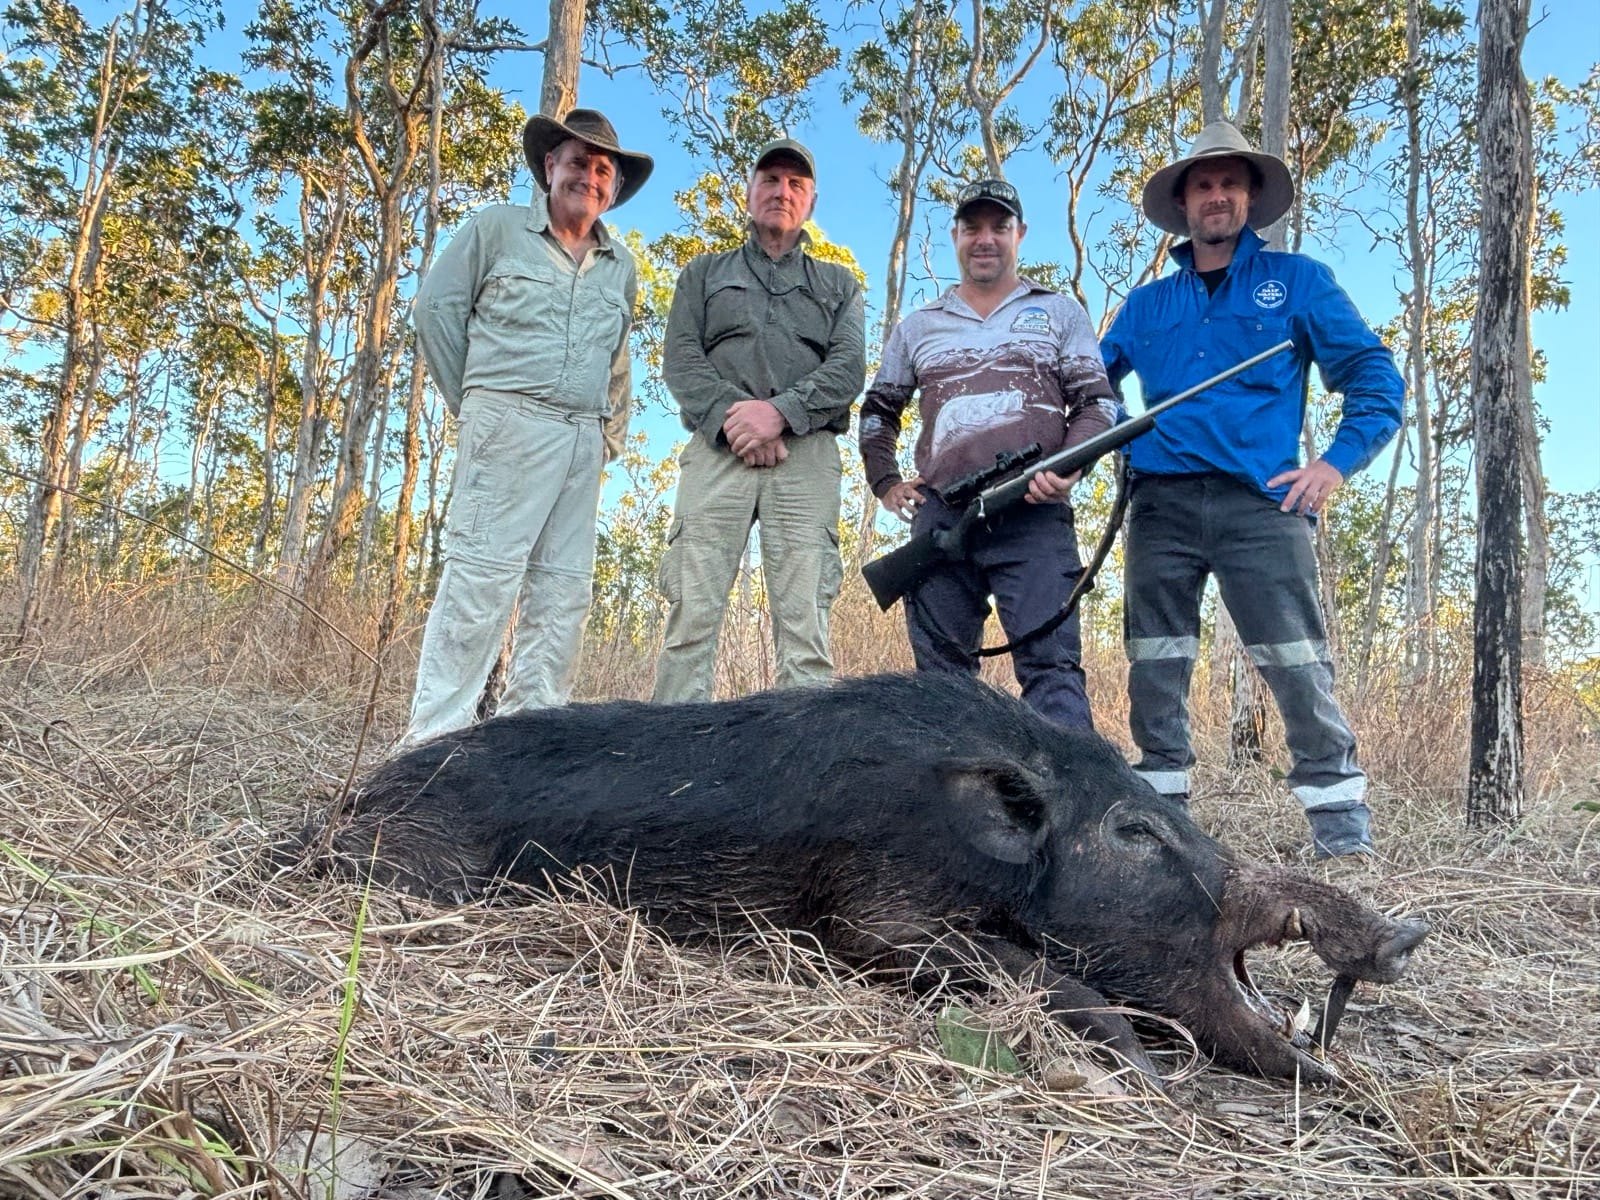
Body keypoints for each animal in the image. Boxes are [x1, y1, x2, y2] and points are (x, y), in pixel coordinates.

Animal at [285, 672, 1427, 1085]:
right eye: (1138, 831)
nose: (1407, 933)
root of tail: (331, 812)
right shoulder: (873, 916)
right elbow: (1044, 975)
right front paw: (1142, 1072)